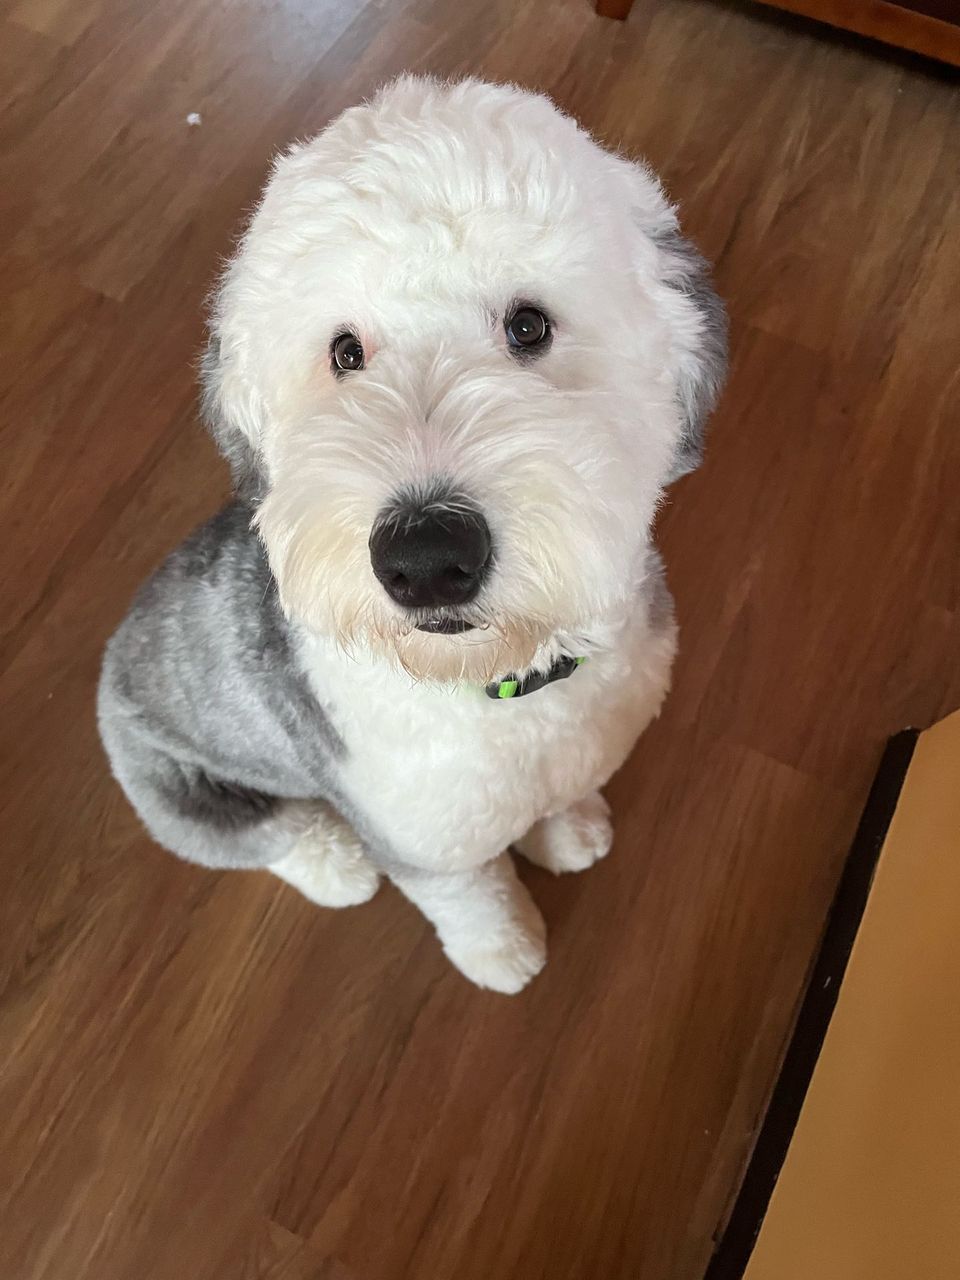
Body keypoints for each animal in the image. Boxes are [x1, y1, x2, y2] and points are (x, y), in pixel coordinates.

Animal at [98, 75, 726, 993]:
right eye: (345, 352)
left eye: (529, 325)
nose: (426, 560)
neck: (500, 683)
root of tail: (112, 656)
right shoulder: (421, 836)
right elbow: (466, 895)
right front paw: (503, 950)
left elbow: (560, 798)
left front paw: (569, 830)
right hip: (178, 791)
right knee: (272, 836)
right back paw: (334, 866)